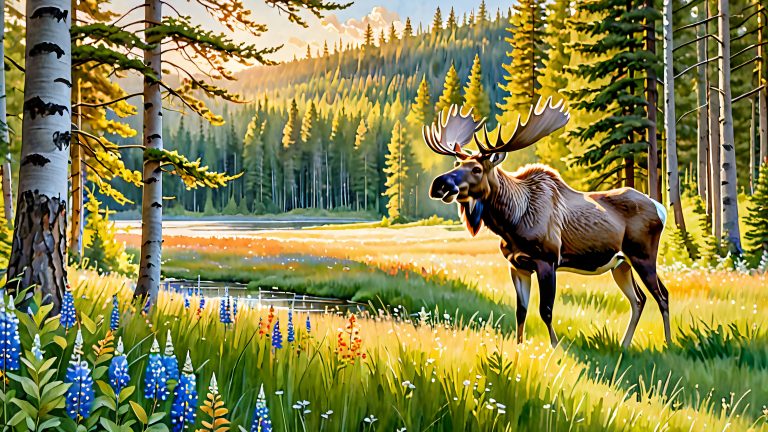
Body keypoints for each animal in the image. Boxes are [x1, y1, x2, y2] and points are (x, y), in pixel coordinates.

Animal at [424, 99, 671, 349]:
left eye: (476, 169)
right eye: (456, 164)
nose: (439, 184)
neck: (511, 223)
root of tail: (660, 208)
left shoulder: (547, 260)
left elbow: (546, 310)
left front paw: (555, 346)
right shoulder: (517, 265)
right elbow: (521, 311)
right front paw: (519, 346)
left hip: (642, 256)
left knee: (662, 295)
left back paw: (668, 343)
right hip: (620, 263)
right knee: (639, 299)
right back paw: (624, 344)